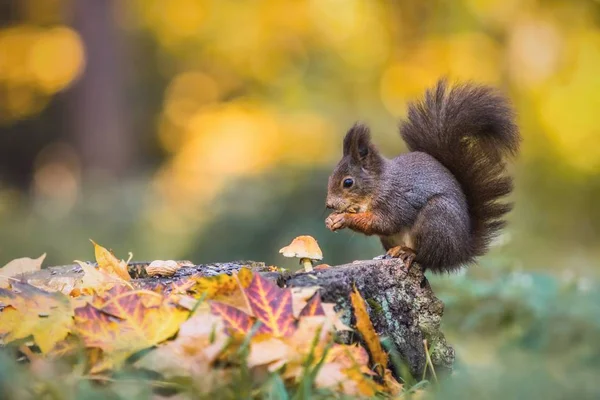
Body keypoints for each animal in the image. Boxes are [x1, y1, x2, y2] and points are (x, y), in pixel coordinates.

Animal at [326, 80, 516, 276]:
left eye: (348, 182)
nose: (329, 204)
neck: (380, 184)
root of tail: (460, 251)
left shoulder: (394, 201)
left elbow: (382, 223)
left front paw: (343, 218)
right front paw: (332, 219)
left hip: (435, 219)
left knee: (426, 257)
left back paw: (408, 252)